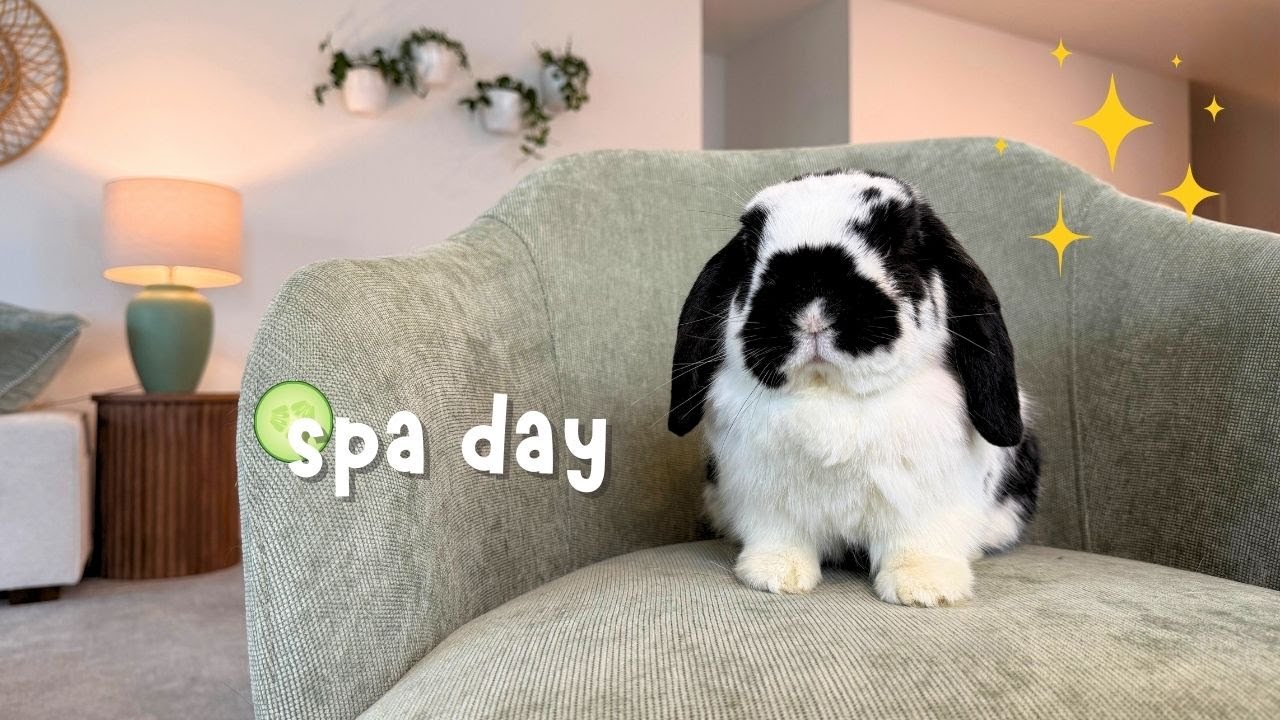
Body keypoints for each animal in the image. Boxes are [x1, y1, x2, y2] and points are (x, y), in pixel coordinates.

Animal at [667, 169, 1040, 607]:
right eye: (750, 247)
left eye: (897, 244)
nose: (808, 289)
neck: (832, 394)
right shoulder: (765, 501)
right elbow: (780, 537)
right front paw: (775, 575)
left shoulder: (929, 502)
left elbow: (920, 540)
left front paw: (923, 588)